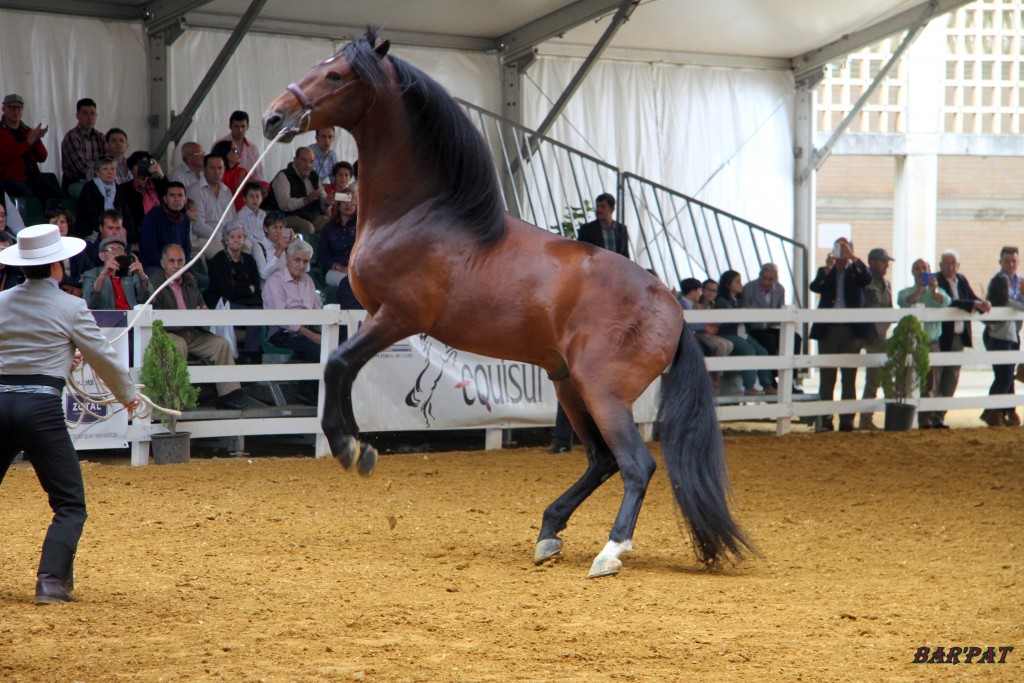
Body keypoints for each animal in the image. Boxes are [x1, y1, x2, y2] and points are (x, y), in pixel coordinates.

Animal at [264, 28, 753, 577]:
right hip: (568, 385)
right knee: (602, 461)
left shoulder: (398, 317)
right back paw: (549, 531)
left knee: (635, 464)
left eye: (334, 75)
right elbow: (342, 370)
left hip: (602, 391)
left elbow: (336, 365)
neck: (419, 213)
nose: (274, 117)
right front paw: (359, 446)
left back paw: (610, 551)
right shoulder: (372, 316)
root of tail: (672, 308)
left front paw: (349, 447)